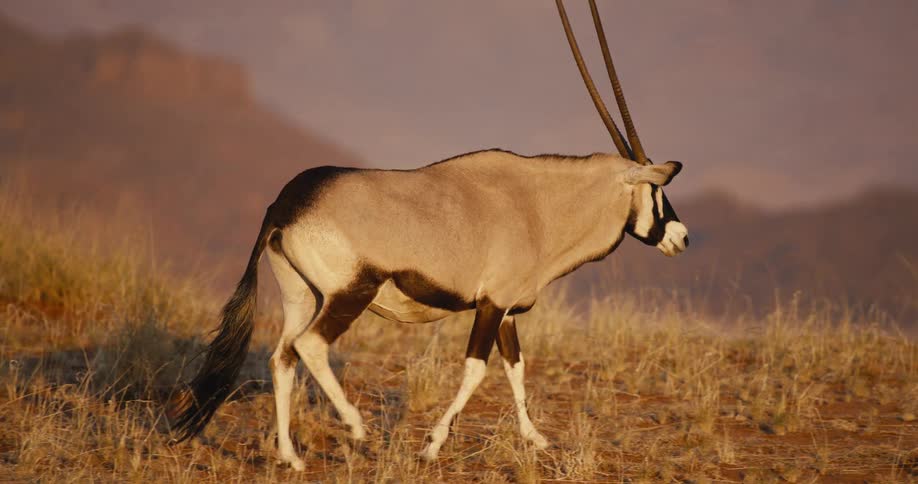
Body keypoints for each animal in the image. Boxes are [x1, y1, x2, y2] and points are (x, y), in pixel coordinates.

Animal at [169, 0, 689, 468]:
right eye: (656, 190)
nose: (681, 238)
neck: (537, 204)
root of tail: (287, 203)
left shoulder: (506, 312)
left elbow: (516, 369)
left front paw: (535, 439)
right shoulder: (492, 304)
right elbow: (477, 370)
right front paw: (433, 445)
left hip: (300, 294)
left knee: (282, 357)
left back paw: (291, 458)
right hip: (349, 293)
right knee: (311, 347)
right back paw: (356, 428)